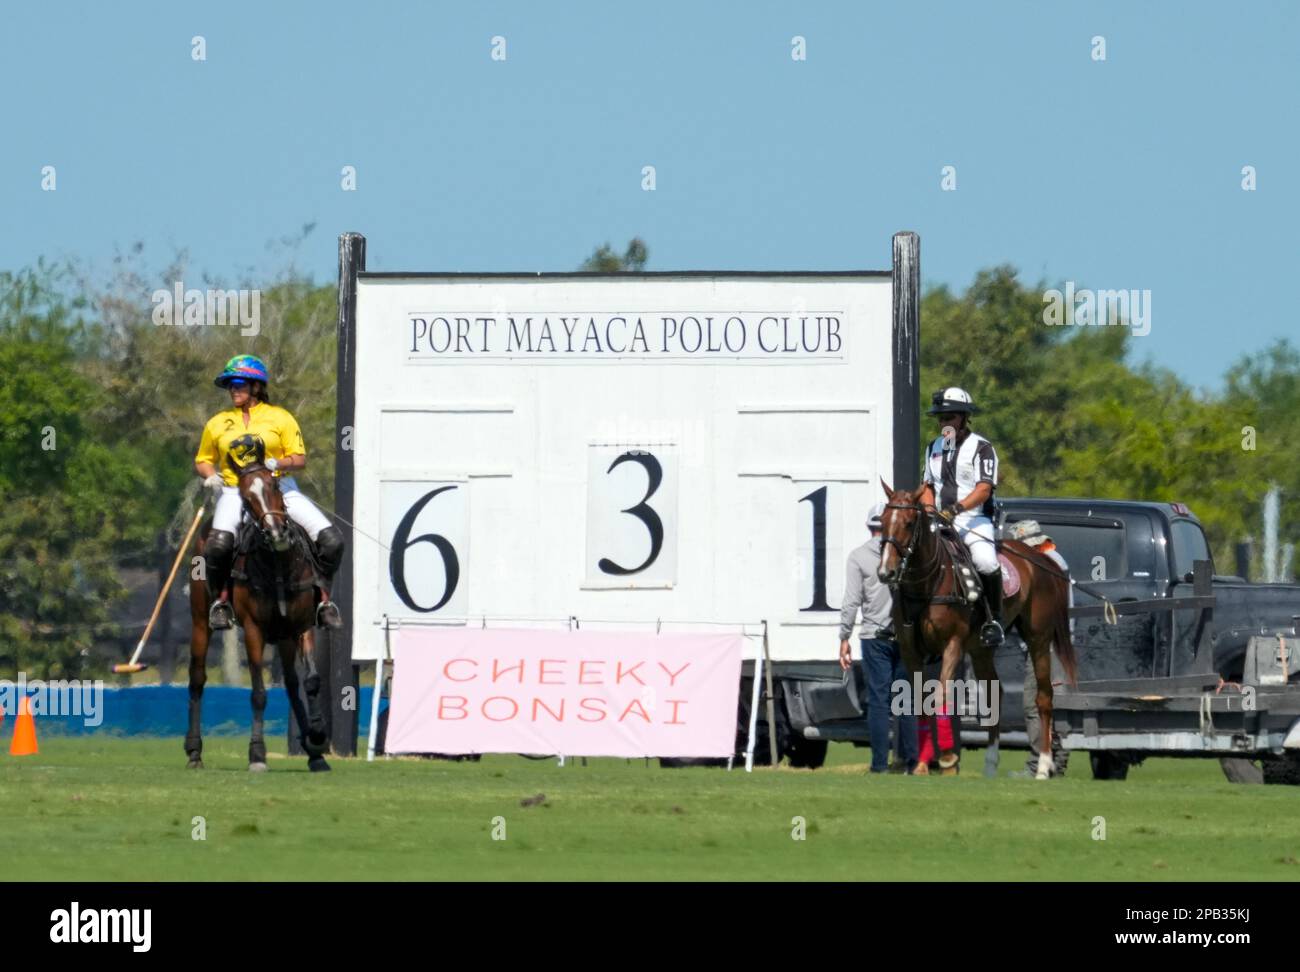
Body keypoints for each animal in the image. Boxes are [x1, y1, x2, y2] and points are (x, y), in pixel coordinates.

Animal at [187, 444, 332, 769]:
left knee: (291, 682)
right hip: (200, 620)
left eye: (275, 486)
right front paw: (257, 754)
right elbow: (259, 693)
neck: (279, 564)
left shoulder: (301, 626)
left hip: (284, 636)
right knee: (197, 677)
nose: (277, 533)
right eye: (245, 497)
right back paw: (193, 751)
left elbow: (311, 680)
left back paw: (312, 751)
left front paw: (317, 738)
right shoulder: (254, 629)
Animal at [878, 483, 1081, 779]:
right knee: (997, 692)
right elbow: (921, 701)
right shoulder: (910, 651)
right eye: (882, 522)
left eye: (908, 522)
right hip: (980, 648)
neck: (928, 582)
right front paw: (922, 764)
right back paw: (990, 763)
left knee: (1044, 696)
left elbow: (941, 695)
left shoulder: (952, 644)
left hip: (1038, 638)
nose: (886, 572)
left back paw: (1043, 766)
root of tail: (1041, 558)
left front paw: (948, 759)